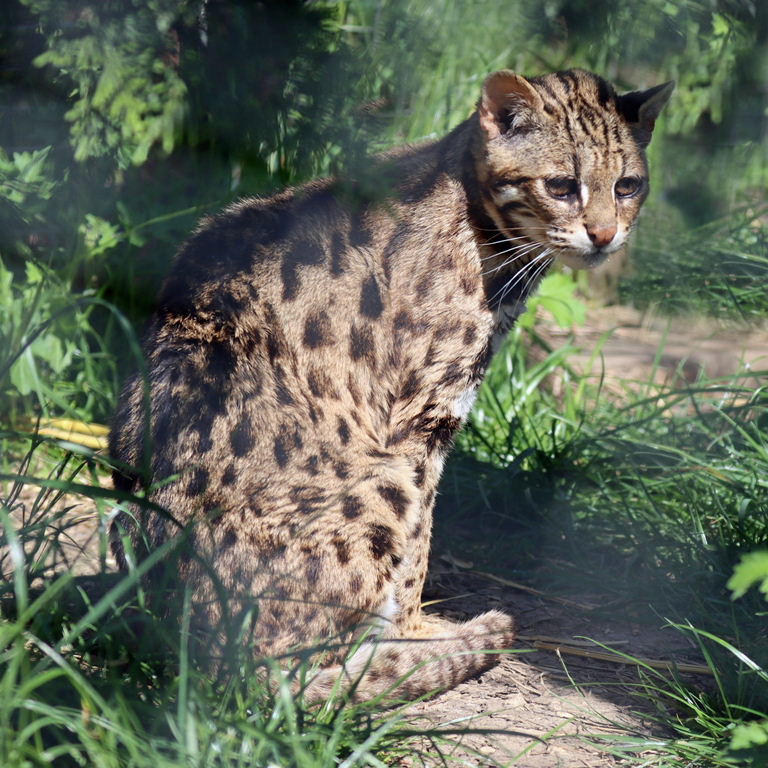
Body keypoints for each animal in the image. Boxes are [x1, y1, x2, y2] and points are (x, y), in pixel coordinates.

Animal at [109, 68, 673, 702]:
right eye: (560, 185)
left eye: (627, 186)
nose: (604, 235)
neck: (482, 223)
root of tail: (201, 664)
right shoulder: (423, 419)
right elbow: (417, 550)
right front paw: (418, 630)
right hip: (379, 481)